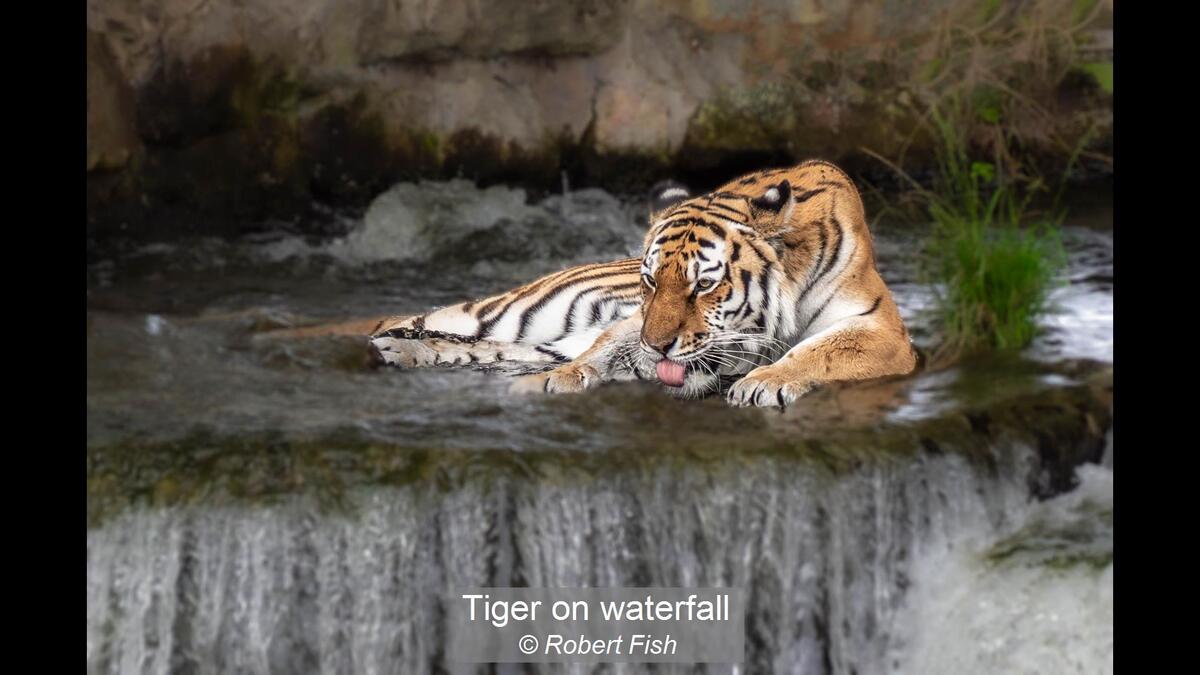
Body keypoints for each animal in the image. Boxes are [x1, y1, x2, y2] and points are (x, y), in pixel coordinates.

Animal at [369, 159, 912, 408]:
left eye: (703, 286)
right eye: (650, 281)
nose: (658, 347)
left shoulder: (881, 329)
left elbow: (820, 350)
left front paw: (764, 382)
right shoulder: (634, 321)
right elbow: (607, 347)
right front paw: (556, 381)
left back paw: (403, 353)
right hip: (516, 312)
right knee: (402, 322)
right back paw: (396, 348)